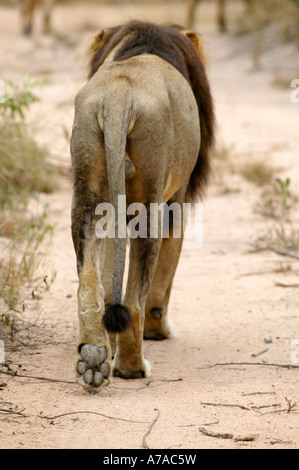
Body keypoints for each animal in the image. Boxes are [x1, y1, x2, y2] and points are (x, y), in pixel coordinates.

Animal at [71, 20, 216, 392]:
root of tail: (119, 96)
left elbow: (110, 269)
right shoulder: (176, 201)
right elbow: (164, 276)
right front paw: (159, 330)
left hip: (88, 194)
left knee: (91, 284)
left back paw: (94, 358)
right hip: (151, 202)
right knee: (134, 302)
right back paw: (132, 366)